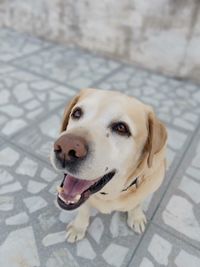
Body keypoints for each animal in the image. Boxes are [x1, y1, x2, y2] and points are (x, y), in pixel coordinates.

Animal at [50, 89, 167, 244]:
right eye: (77, 113)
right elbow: (83, 209)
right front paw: (78, 227)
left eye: (121, 128)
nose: (65, 147)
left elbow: (137, 203)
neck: (109, 193)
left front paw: (136, 217)